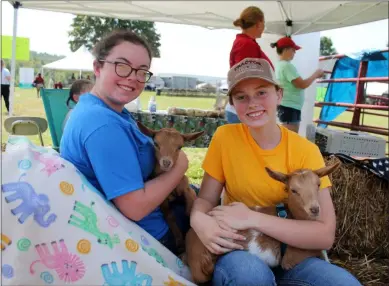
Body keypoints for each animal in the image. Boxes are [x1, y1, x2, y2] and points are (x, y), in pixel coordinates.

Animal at [136, 120, 203, 252]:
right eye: (156, 143)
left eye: (180, 147)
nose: (166, 162)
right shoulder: (163, 201)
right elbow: (169, 216)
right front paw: (180, 242)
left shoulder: (187, 188)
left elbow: (190, 209)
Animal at [185, 161, 340, 284]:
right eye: (293, 190)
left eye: (318, 185)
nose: (314, 209)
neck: (291, 217)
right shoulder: (290, 257)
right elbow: (318, 250)